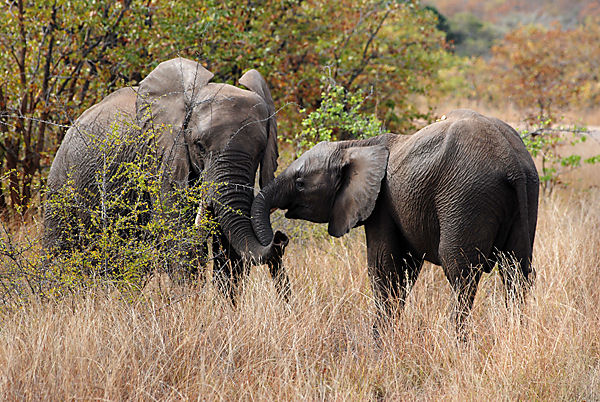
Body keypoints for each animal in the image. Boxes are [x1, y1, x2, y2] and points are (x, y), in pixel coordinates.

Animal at [43, 57, 290, 302]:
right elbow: (180, 238)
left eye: (260, 151)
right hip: (61, 182)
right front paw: (190, 306)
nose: (280, 238)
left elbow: (230, 248)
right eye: (199, 146)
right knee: (57, 251)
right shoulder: (162, 157)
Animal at [251, 108, 540, 332]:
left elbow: (384, 268)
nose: (280, 239)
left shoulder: (382, 203)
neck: (356, 146)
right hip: (527, 192)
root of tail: (512, 163)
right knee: (516, 271)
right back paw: (517, 334)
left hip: (466, 196)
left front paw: (380, 344)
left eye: (300, 183)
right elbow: (404, 269)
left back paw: (458, 343)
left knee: (461, 272)